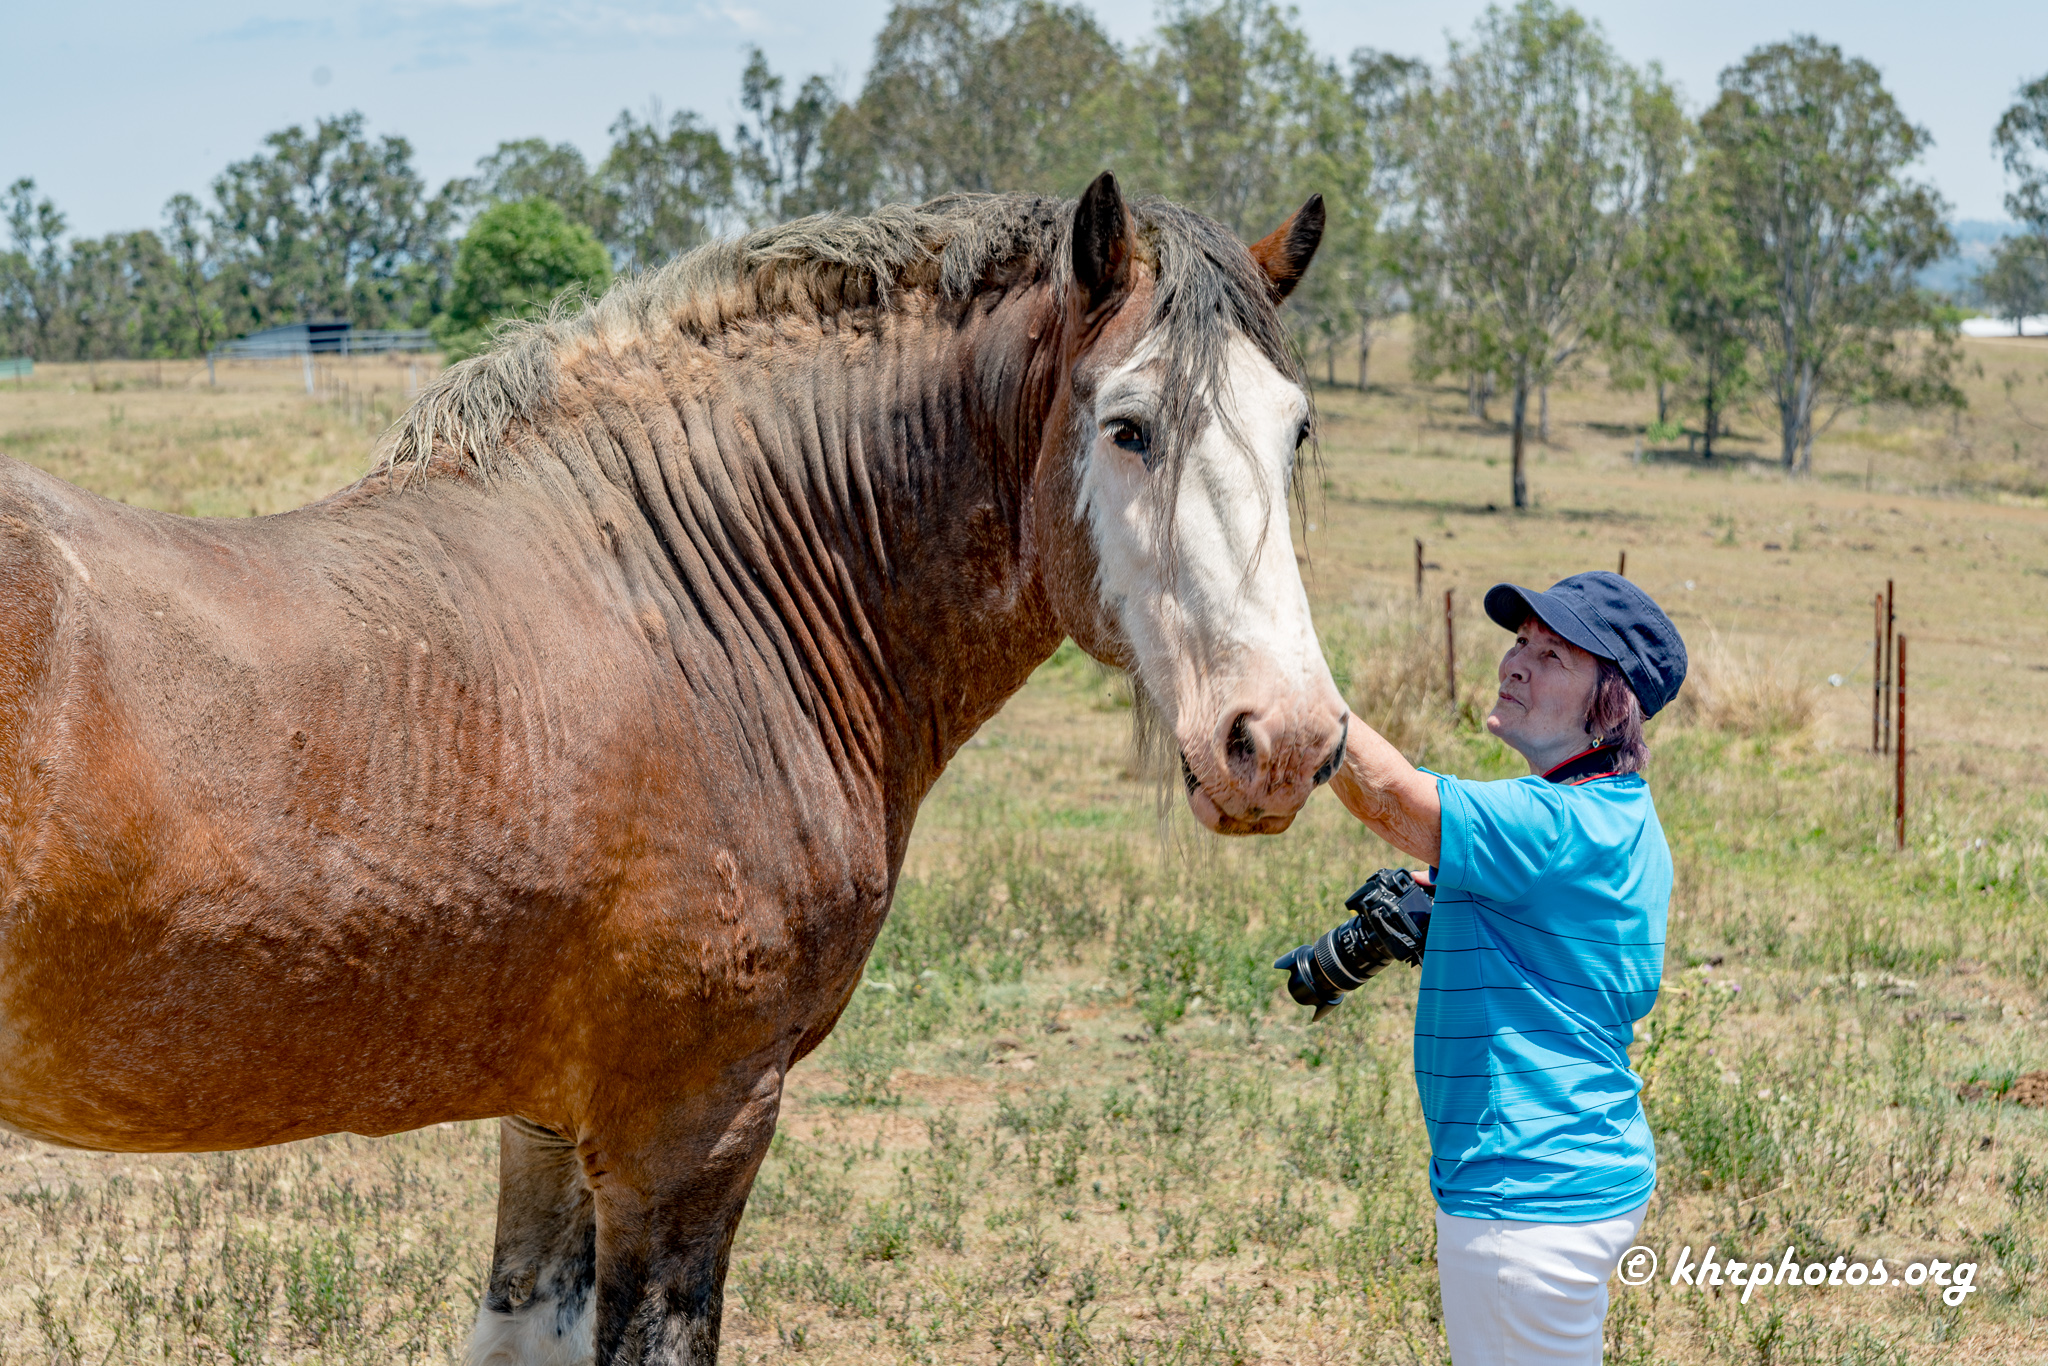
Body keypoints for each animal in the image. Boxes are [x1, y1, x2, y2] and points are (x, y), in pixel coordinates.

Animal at [0, 173, 1345, 1364]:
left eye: (1294, 428)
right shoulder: (690, 1128)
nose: (1280, 739)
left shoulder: (547, 1118)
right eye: (1127, 426)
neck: (682, 597)